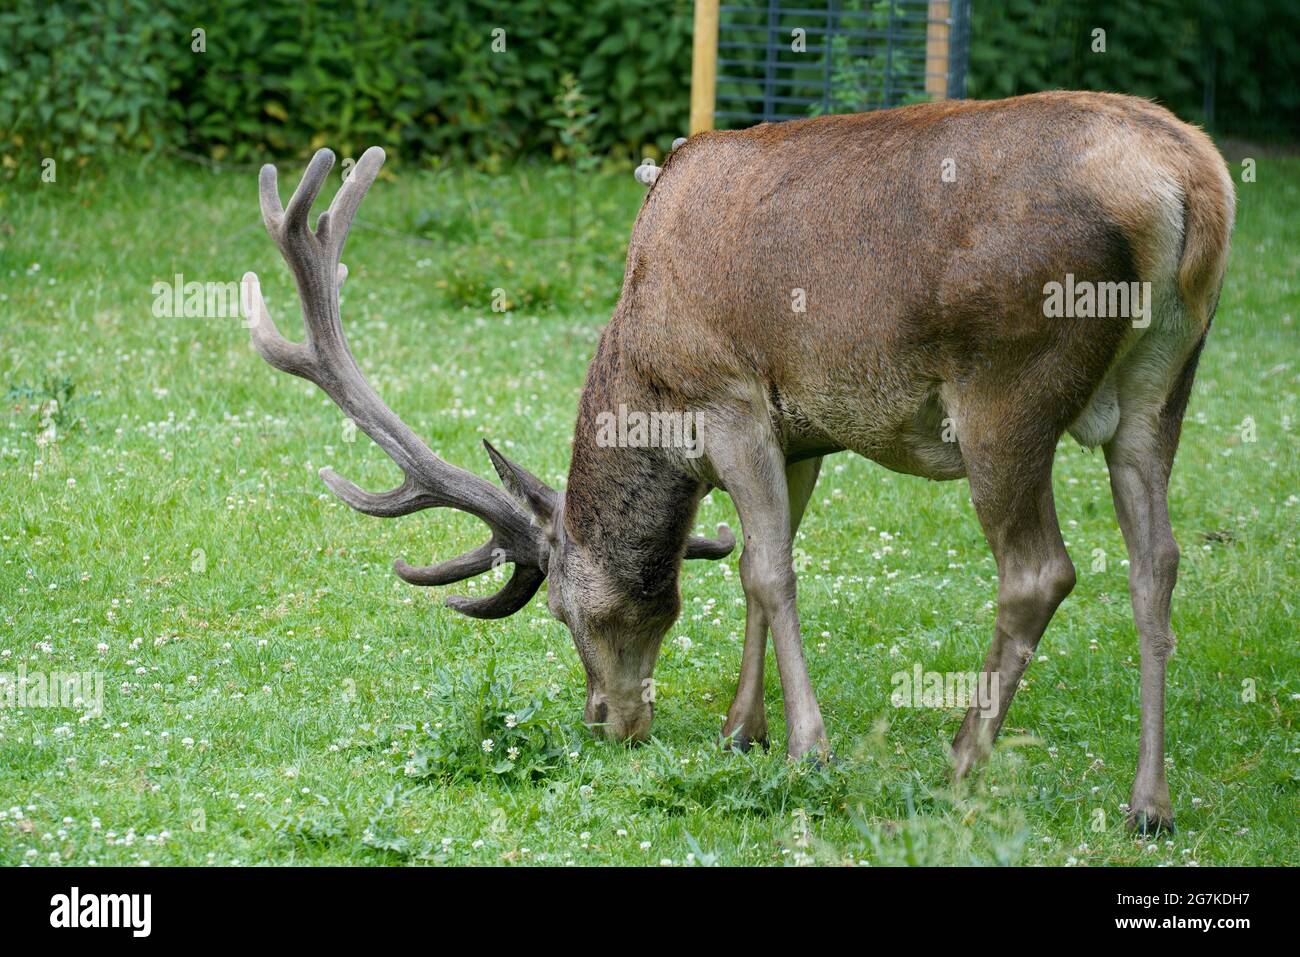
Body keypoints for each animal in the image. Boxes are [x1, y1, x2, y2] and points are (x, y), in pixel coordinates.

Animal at [242, 91, 1233, 834]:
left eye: (563, 608)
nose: (605, 720)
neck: (645, 370)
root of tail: (1194, 185)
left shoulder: (726, 396)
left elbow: (766, 569)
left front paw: (807, 748)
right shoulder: (801, 428)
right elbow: (765, 560)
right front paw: (739, 730)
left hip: (1005, 387)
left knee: (1039, 570)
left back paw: (959, 761)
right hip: (1162, 385)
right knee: (1158, 559)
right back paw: (1149, 802)